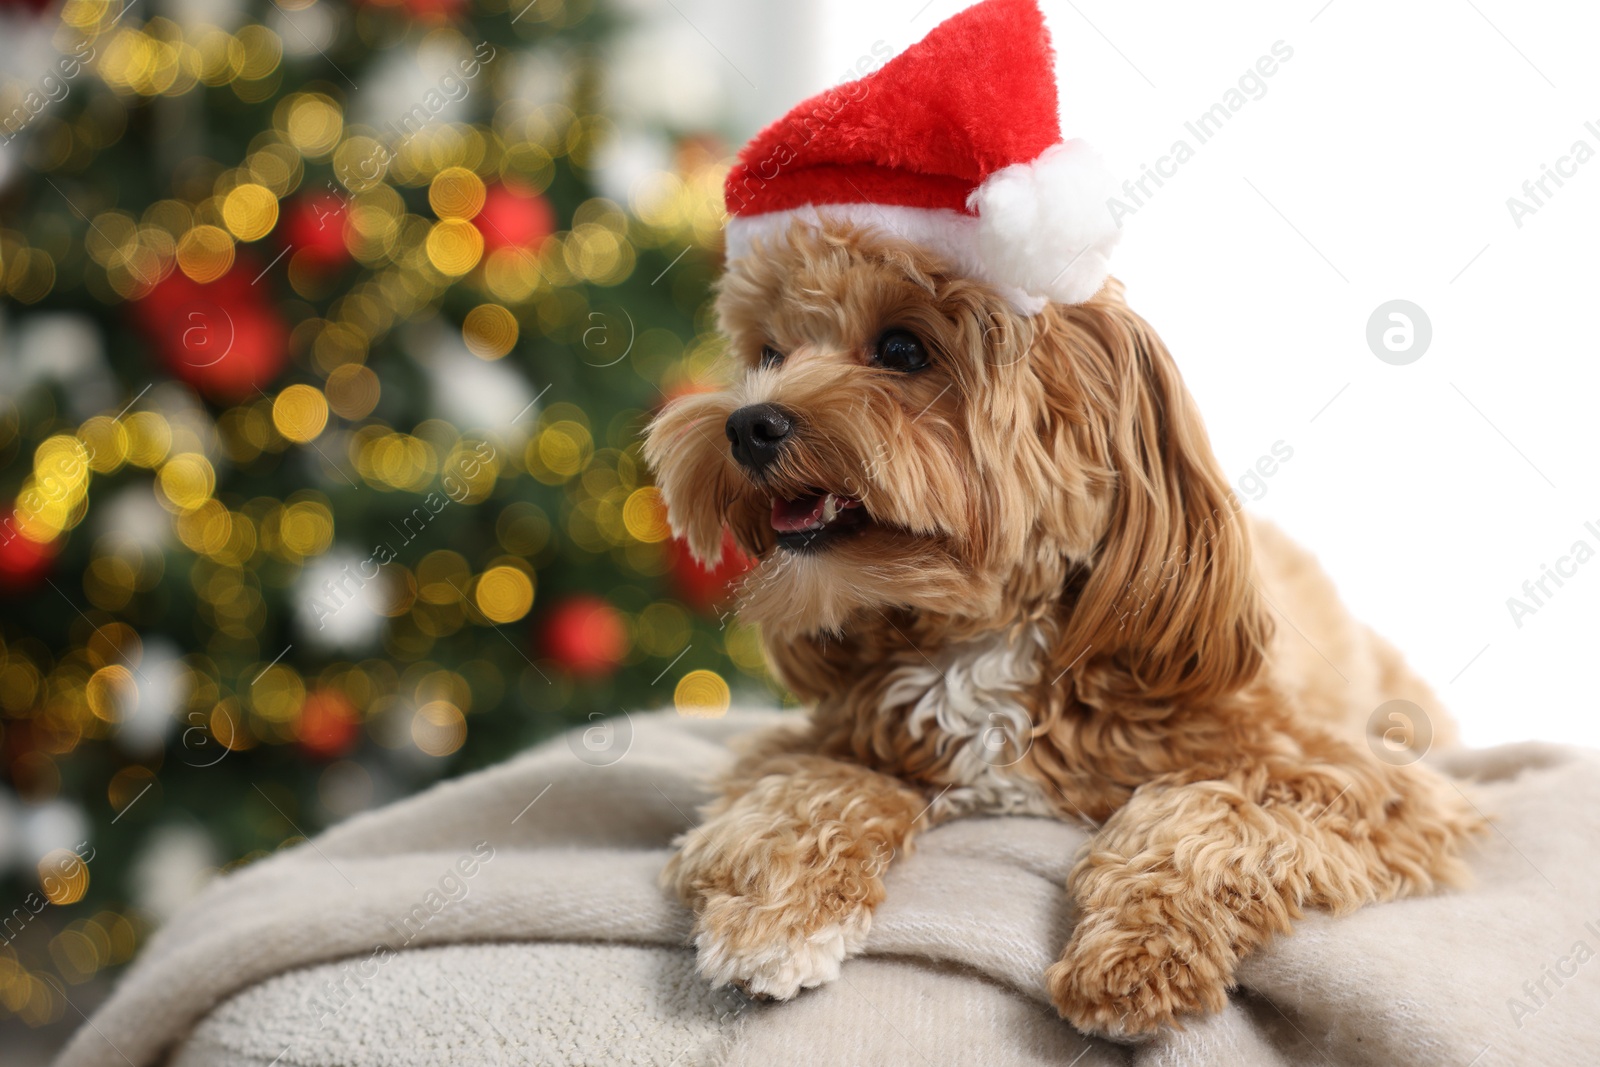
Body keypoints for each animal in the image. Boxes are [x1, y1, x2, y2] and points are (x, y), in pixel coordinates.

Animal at [640, 0, 1484, 1036]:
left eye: (903, 348)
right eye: (768, 353)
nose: (748, 424)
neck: (986, 642)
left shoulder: (1363, 783)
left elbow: (1203, 813)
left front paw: (1138, 952)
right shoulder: (808, 743)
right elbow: (816, 792)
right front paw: (775, 920)